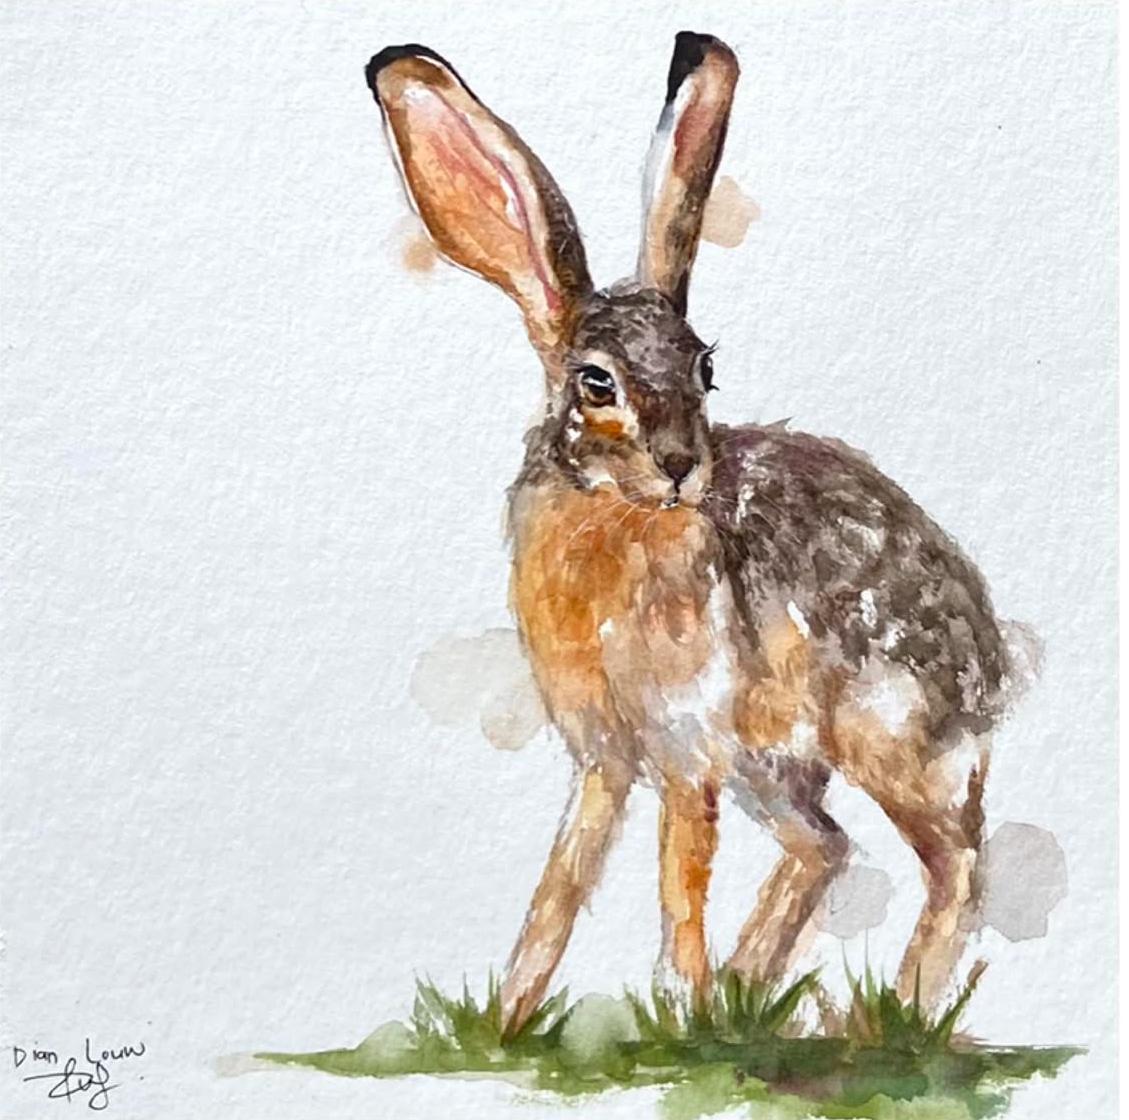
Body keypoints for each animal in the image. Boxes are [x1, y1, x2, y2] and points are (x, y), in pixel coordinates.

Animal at [366, 32, 1018, 1038]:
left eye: (704, 370)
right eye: (595, 383)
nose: (681, 466)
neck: (615, 516)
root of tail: (990, 670)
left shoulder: (685, 747)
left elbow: (680, 879)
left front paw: (678, 1011)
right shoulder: (604, 753)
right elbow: (565, 880)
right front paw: (509, 1019)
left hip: (885, 741)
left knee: (952, 865)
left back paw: (879, 1017)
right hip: (774, 768)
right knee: (825, 846)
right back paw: (756, 998)